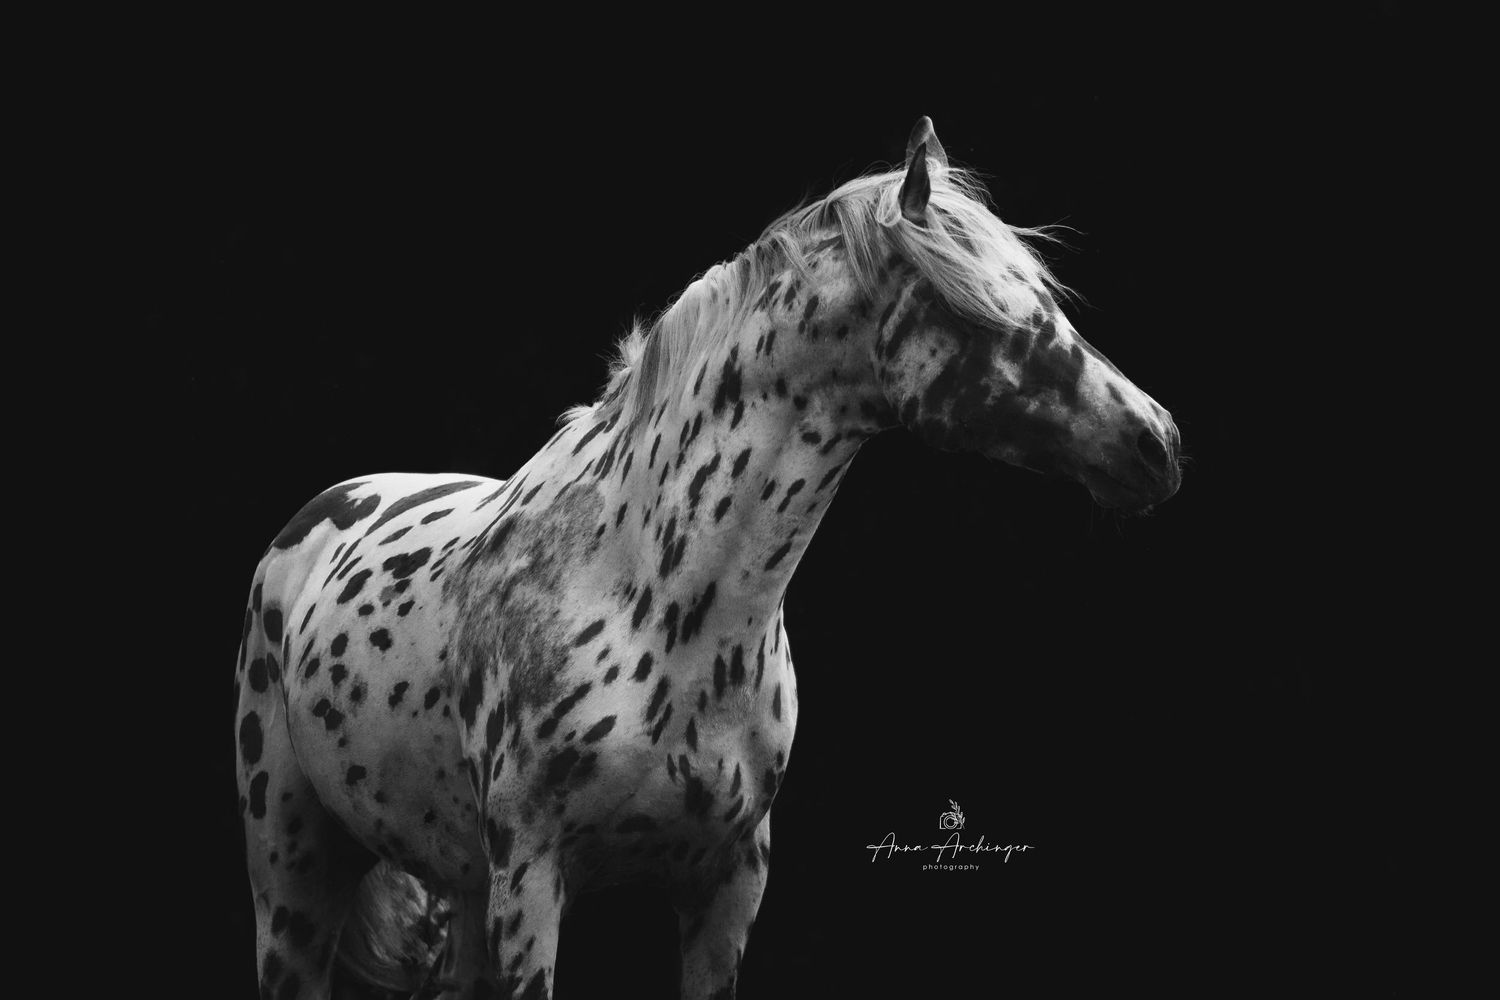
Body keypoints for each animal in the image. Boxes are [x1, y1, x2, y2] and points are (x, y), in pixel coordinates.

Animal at [234, 117, 1181, 1000]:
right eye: (984, 310)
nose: (1157, 442)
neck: (651, 595)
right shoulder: (531, 886)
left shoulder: (729, 883)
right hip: (296, 882)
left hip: (460, 889)